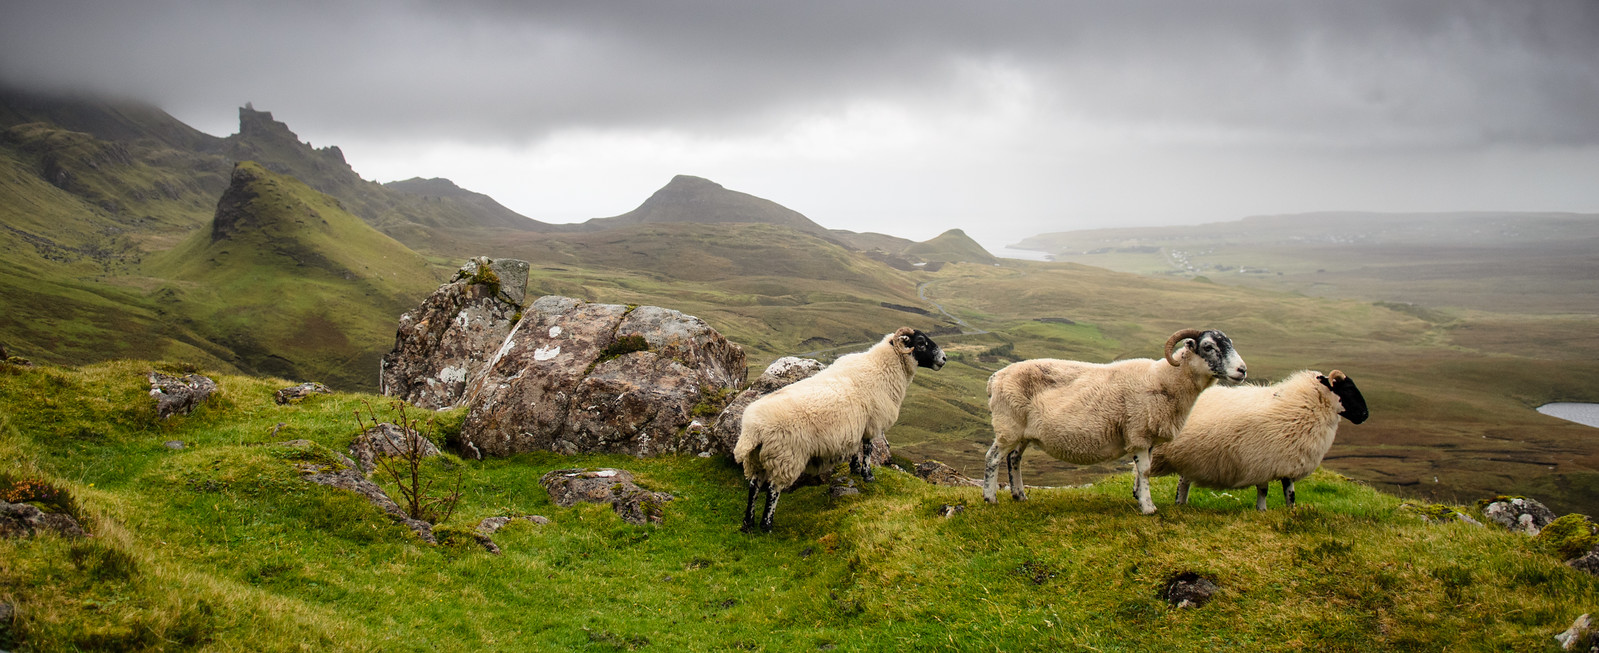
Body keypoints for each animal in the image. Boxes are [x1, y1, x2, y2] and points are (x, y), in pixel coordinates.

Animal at [734, 327, 946, 532]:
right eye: (921, 343)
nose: (944, 358)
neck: (882, 366)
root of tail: (753, 430)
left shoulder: (857, 426)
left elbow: (855, 449)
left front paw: (854, 469)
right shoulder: (872, 424)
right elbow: (867, 449)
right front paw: (867, 475)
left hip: (756, 459)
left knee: (754, 486)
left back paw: (748, 524)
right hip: (785, 457)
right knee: (773, 490)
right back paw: (767, 525)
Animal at [983, 329, 1247, 514]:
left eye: (1230, 343)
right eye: (1208, 346)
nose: (1242, 370)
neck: (1165, 380)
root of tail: (995, 378)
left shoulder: (1148, 438)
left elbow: (1142, 471)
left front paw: (1138, 495)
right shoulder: (1138, 433)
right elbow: (1145, 470)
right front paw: (1148, 507)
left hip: (1023, 433)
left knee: (1014, 459)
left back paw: (1020, 495)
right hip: (1008, 426)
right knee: (993, 458)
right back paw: (990, 498)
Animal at [1150, 369, 1369, 511]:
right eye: (1348, 389)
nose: (1365, 415)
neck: (1303, 404)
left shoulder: (1275, 463)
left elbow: (1276, 491)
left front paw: (1274, 511)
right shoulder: (1270, 462)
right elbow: (1279, 492)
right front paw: (1276, 511)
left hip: (1187, 456)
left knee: (1183, 482)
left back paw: (1181, 504)